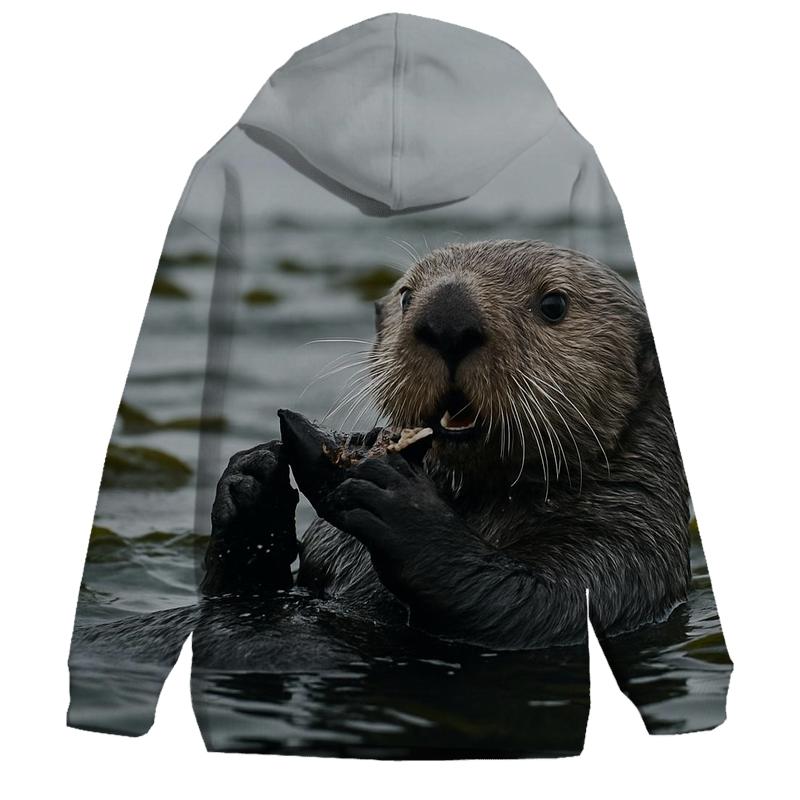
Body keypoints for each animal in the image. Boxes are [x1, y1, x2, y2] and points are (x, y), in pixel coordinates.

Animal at [200, 240, 691, 650]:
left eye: (554, 304)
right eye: (405, 296)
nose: (448, 321)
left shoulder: (624, 551)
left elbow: (538, 604)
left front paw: (402, 504)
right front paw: (251, 485)